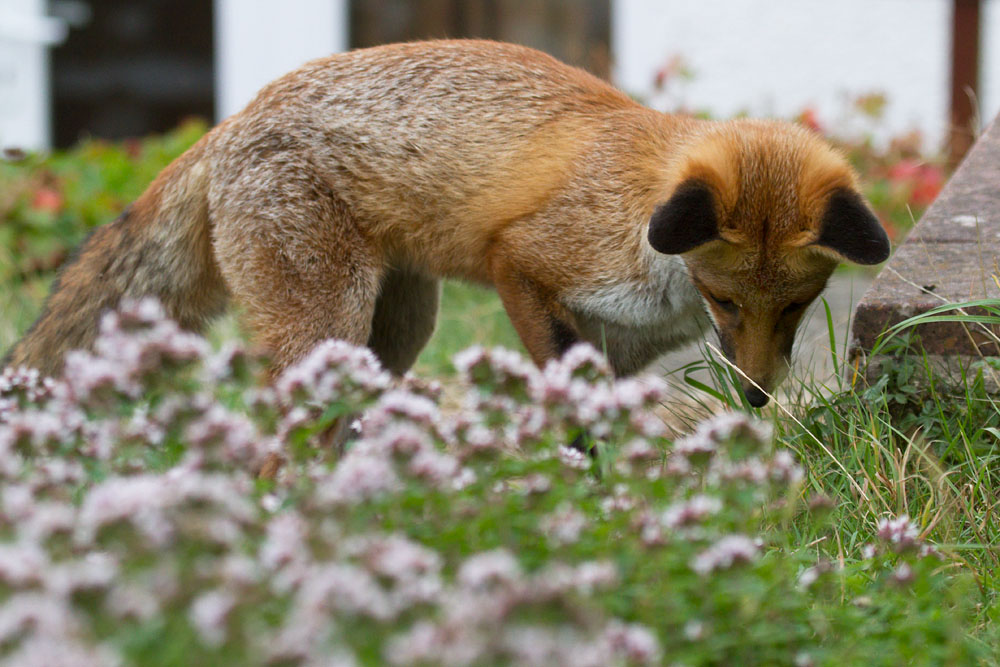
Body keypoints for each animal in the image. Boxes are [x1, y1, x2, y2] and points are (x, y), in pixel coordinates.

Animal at [4, 40, 890, 407]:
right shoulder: (525, 262)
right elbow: (561, 377)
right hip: (328, 319)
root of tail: (230, 120)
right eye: (727, 301)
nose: (755, 398)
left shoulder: (624, 348)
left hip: (396, 328)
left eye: (798, 308)